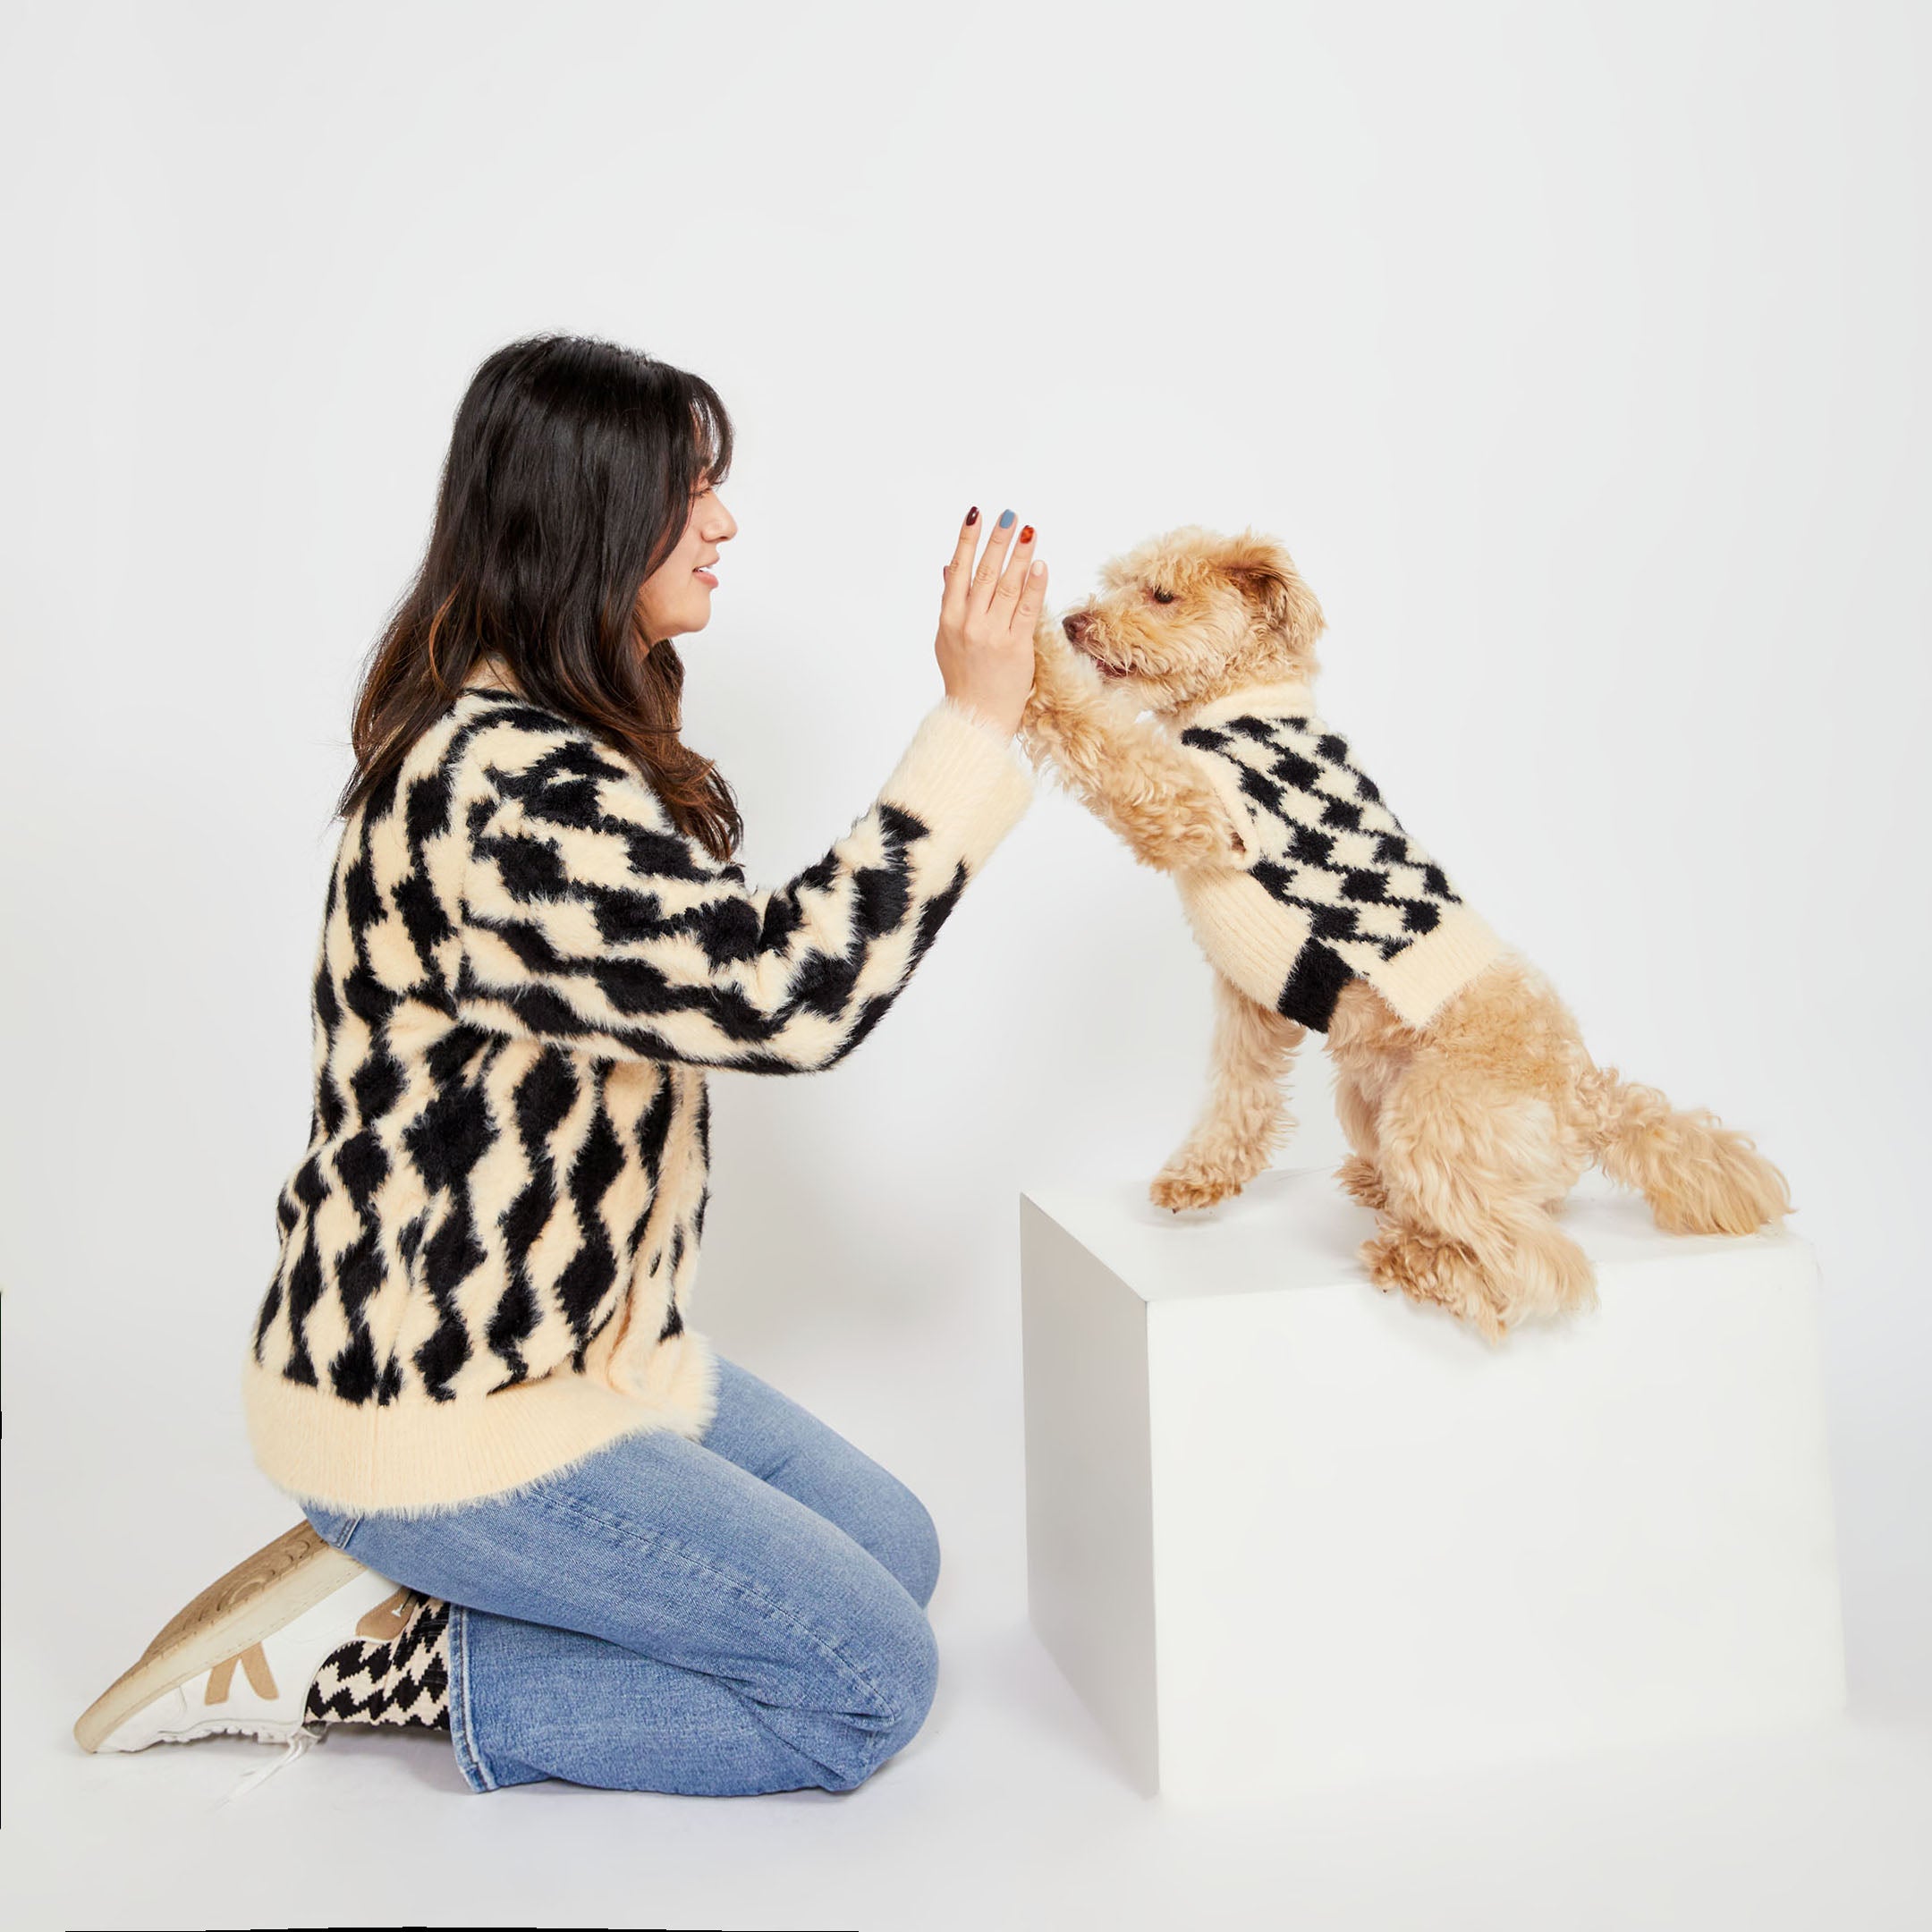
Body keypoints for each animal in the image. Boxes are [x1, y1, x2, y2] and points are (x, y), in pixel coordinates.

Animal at [1020, 529, 1784, 1344]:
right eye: (1114, 584)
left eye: (1162, 595)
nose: (1074, 623)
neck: (1241, 705)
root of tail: (1587, 1098)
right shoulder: (1252, 1001)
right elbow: (1237, 1096)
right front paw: (1201, 1177)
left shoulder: (1186, 801)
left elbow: (1095, 731)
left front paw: (1023, 639)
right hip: (1371, 1099)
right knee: (1523, 1208)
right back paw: (1385, 1195)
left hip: (1433, 1117)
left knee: (1539, 1261)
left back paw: (1418, 1260)